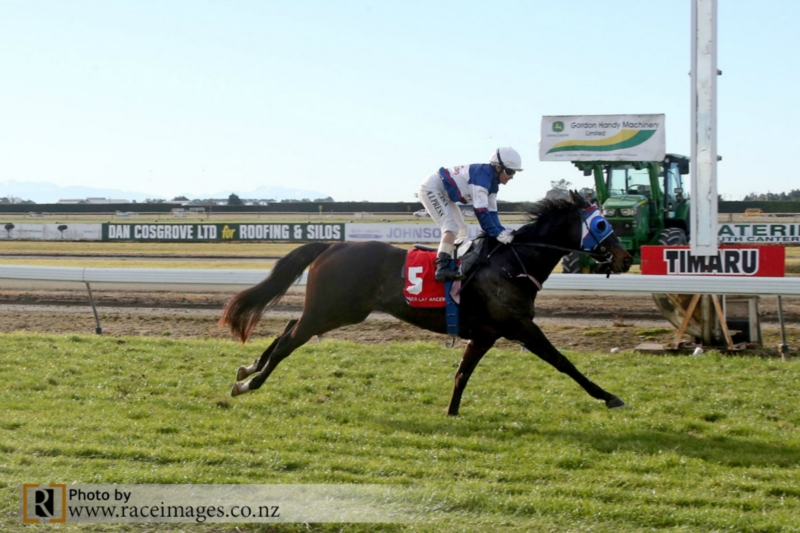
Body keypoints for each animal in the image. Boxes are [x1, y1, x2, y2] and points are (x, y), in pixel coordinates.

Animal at [218, 191, 633, 415]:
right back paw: (248, 384)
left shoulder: (485, 334)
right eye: (601, 224)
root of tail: (333, 244)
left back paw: (246, 369)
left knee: (288, 330)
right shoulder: (520, 327)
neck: (511, 263)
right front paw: (609, 396)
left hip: (336, 310)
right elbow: (564, 362)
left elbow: (462, 373)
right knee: (289, 341)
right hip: (333, 310)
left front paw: (451, 412)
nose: (626, 258)